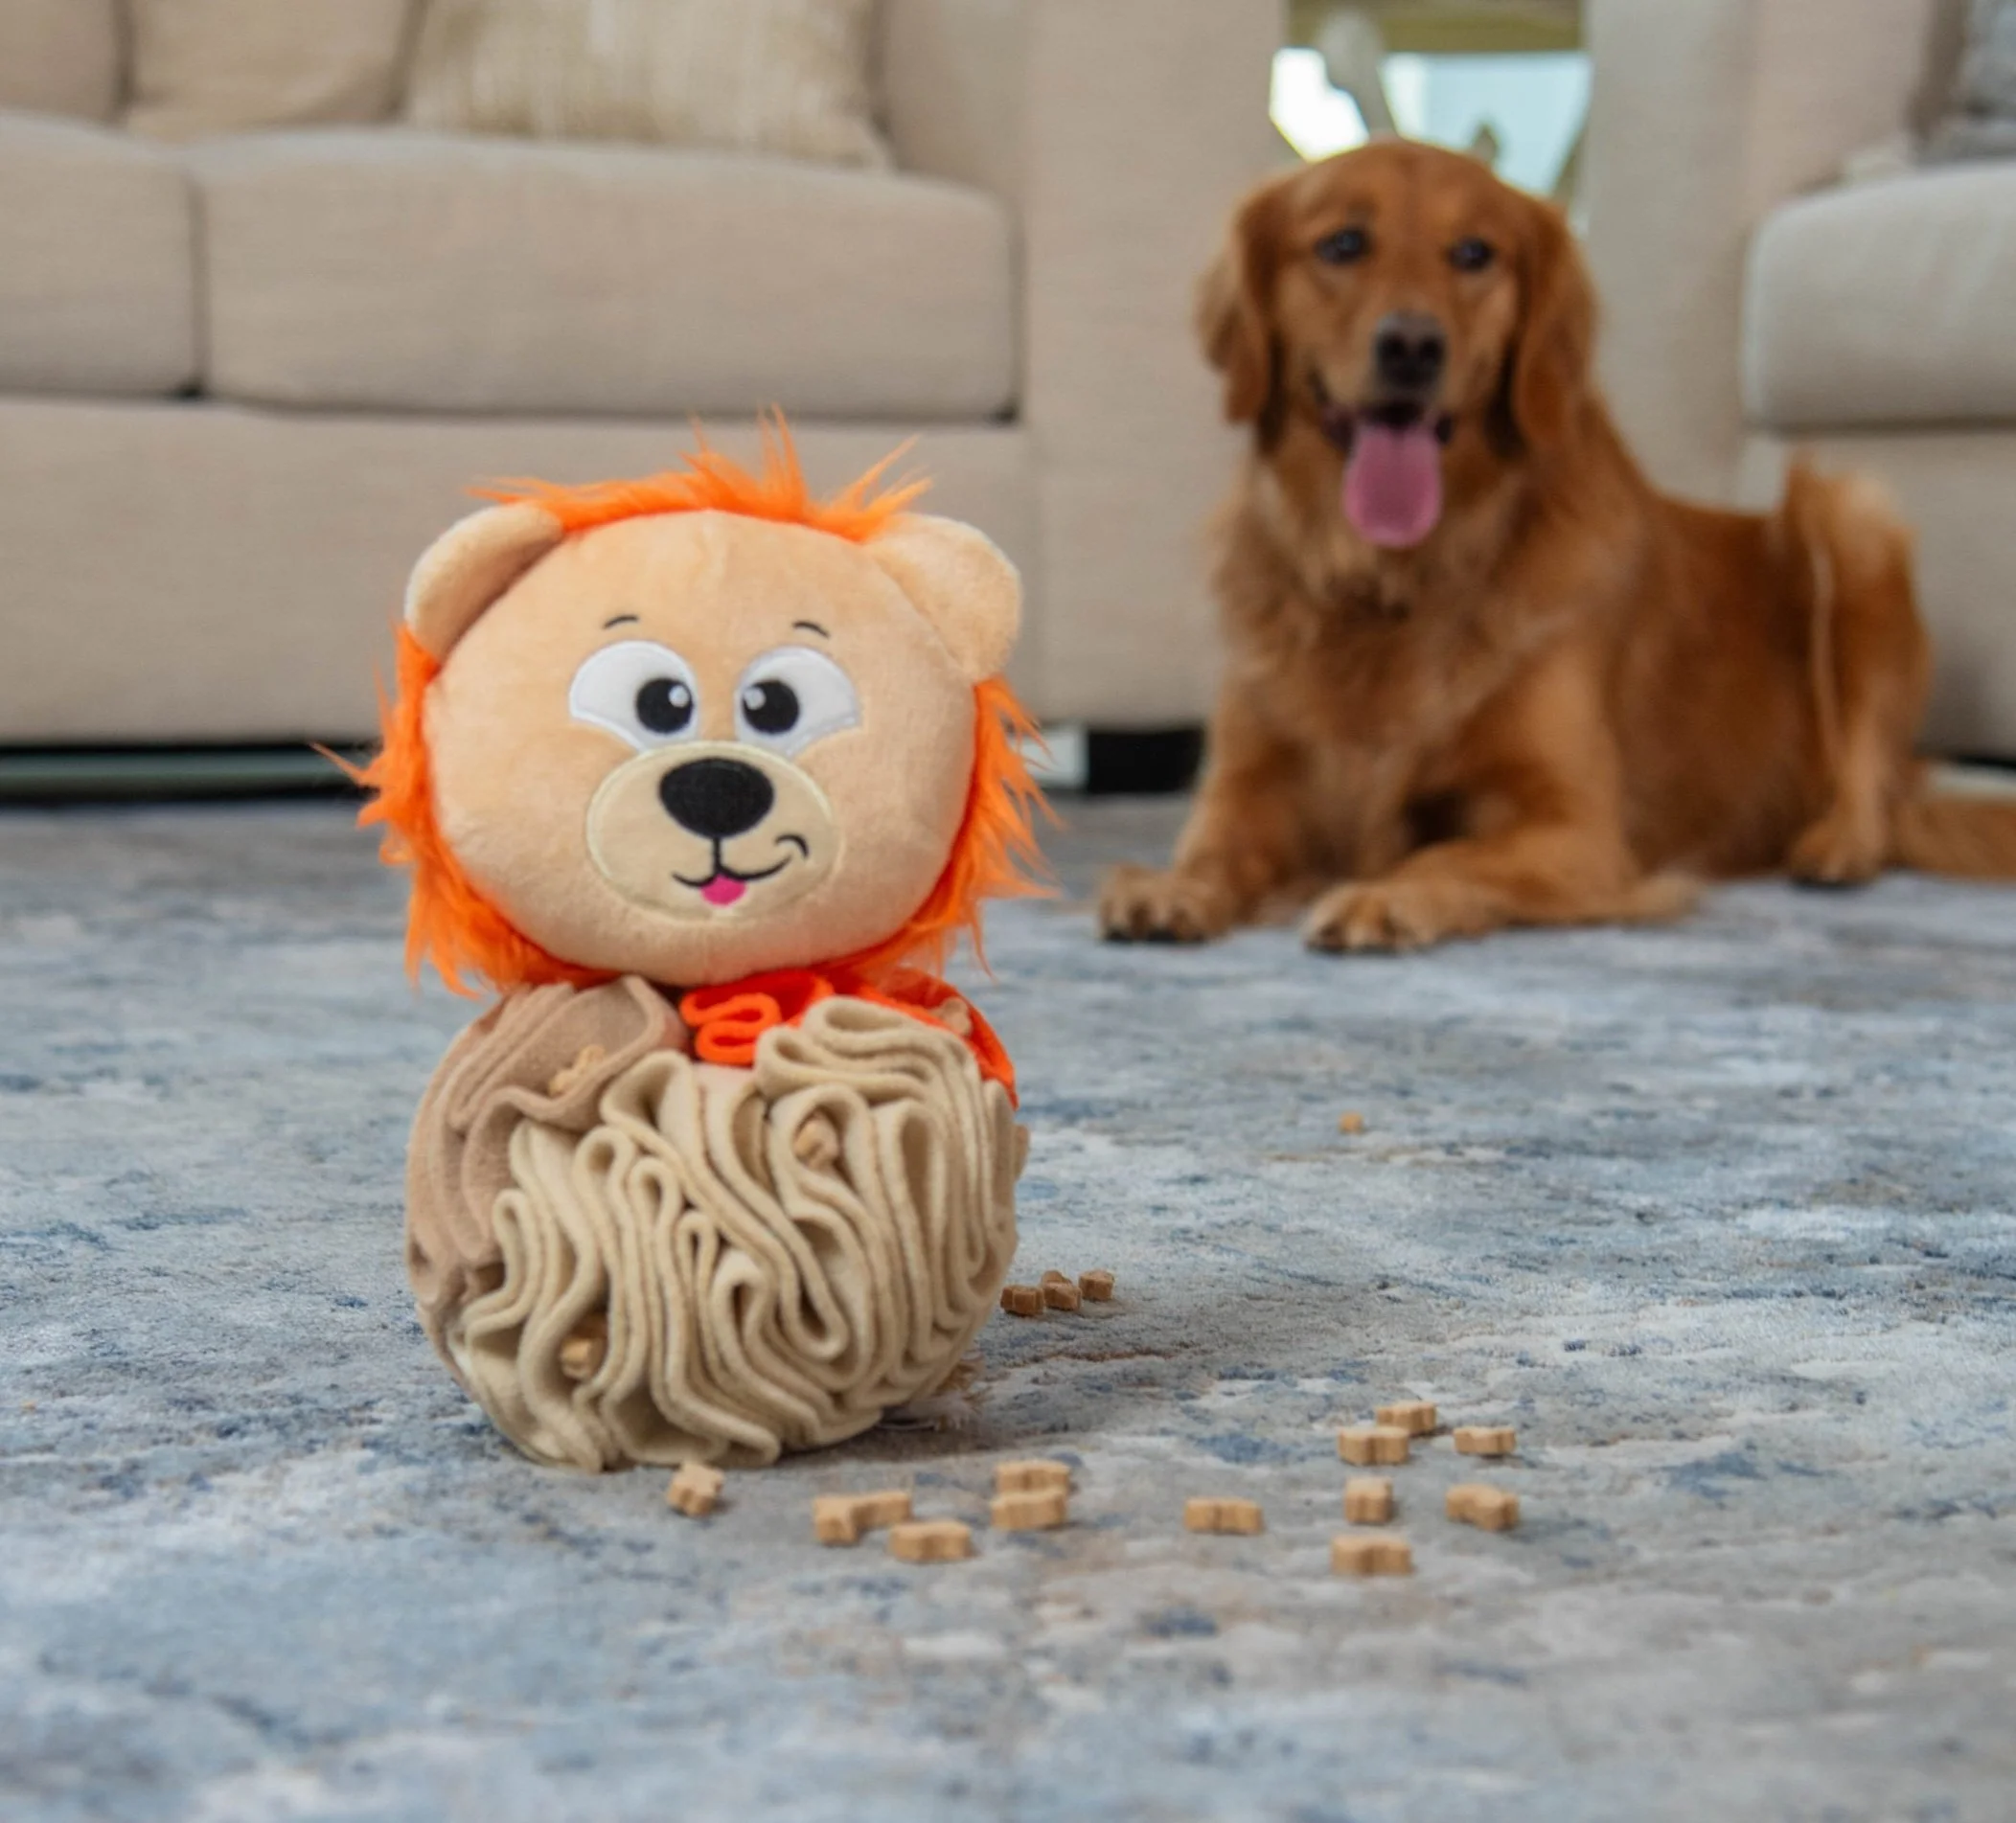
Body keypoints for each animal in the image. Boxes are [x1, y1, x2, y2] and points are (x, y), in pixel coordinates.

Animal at [1100, 139, 2016, 953]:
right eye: (1343, 243)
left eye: (1474, 253)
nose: (1412, 346)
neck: (1394, 579)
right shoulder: (1246, 787)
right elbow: (1215, 849)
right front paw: (1169, 886)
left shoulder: (1576, 827)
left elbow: (1445, 851)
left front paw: (1382, 895)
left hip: (1853, 517)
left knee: (1872, 784)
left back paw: (1834, 847)